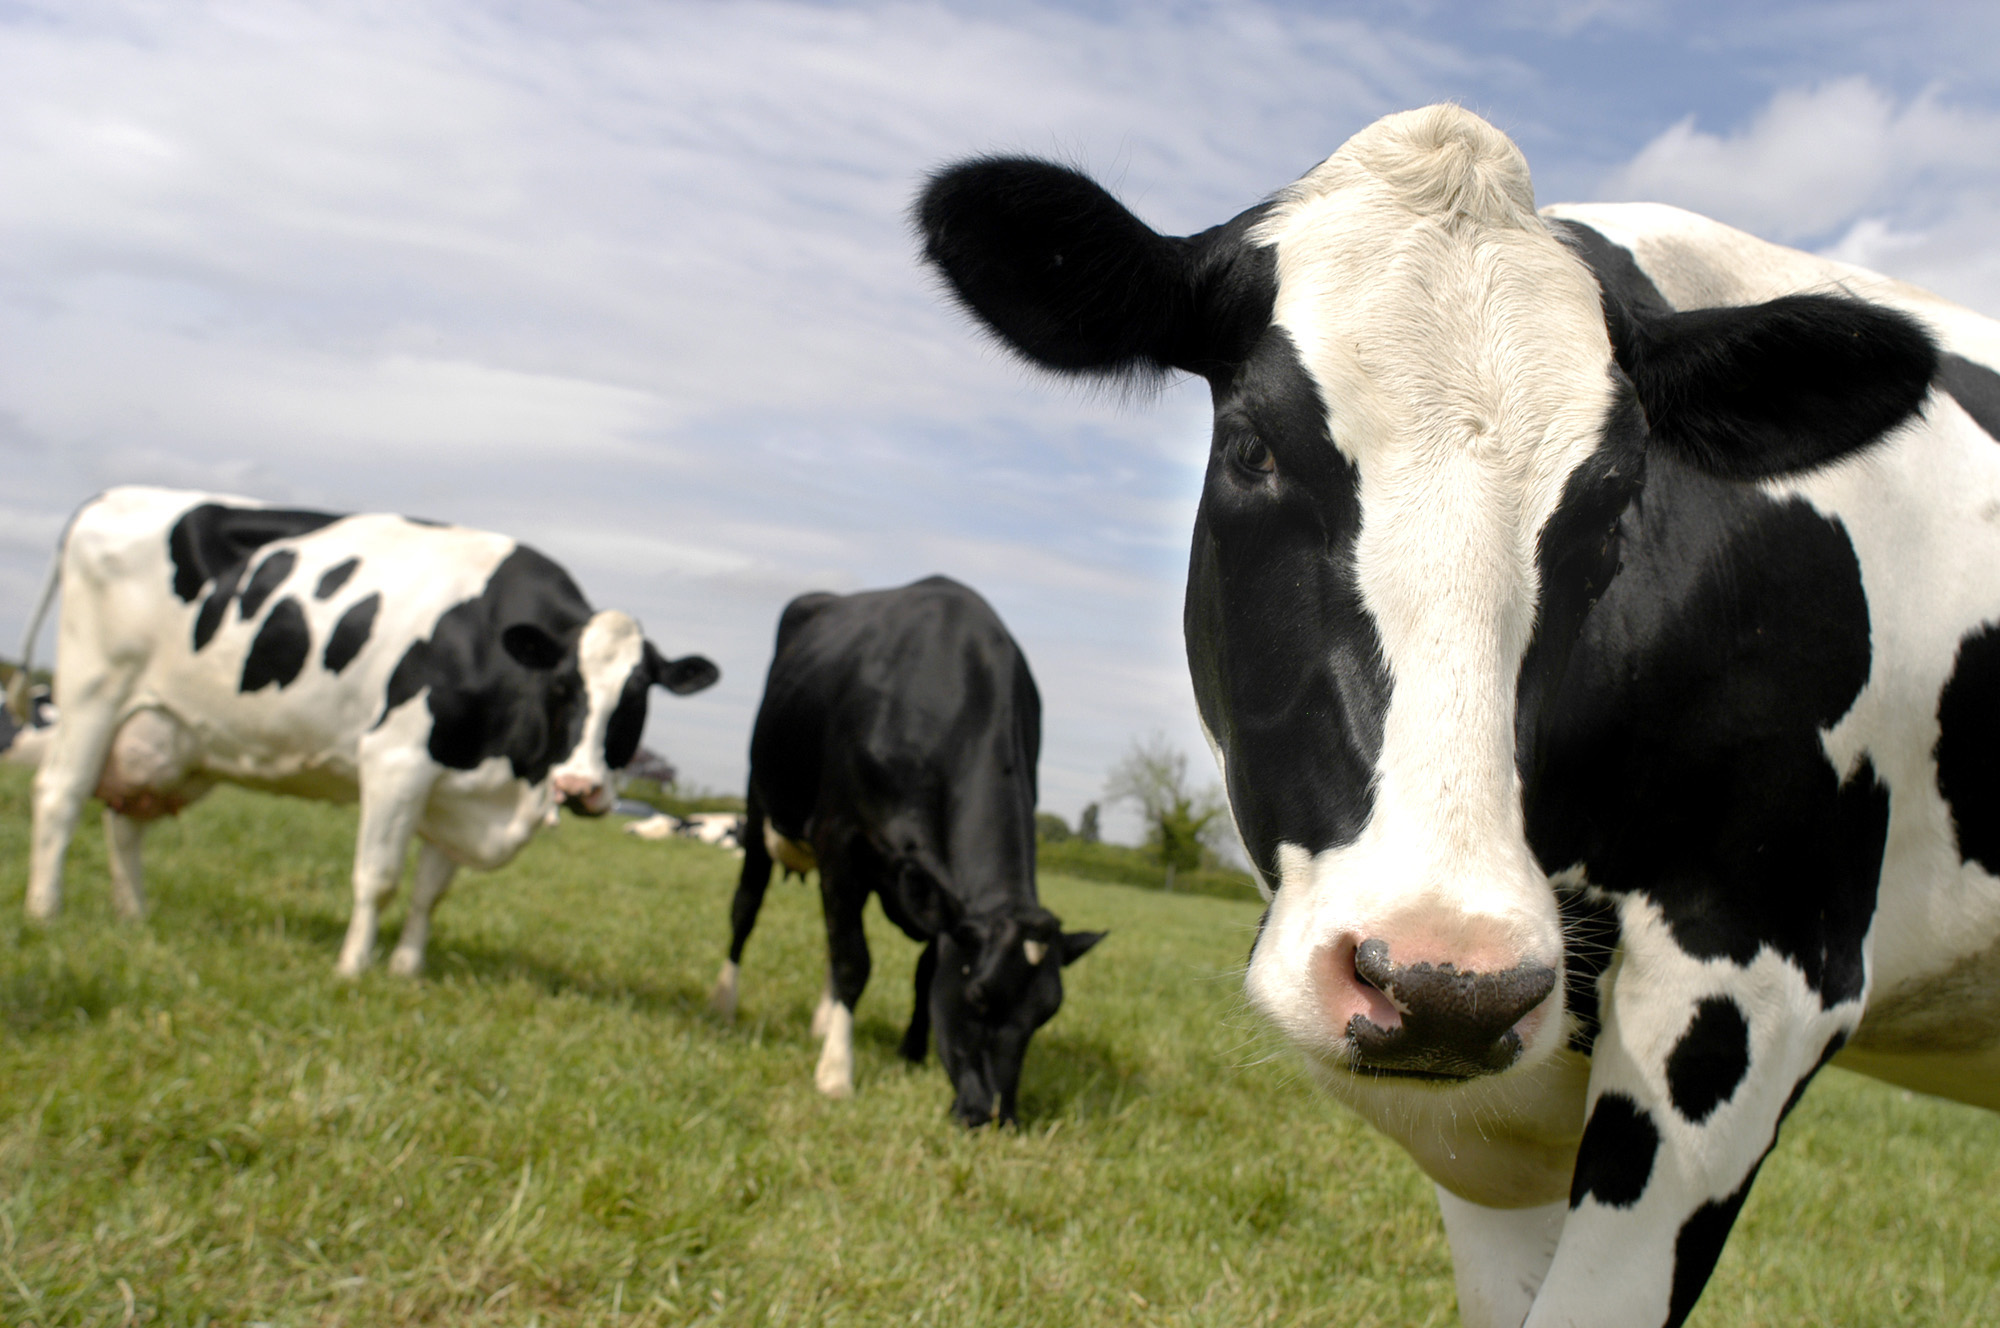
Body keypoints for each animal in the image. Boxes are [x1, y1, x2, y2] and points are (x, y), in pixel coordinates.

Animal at [15, 482, 720, 972]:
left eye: (638, 696)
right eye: (563, 686)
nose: (580, 787)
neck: (511, 780)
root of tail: (113, 495)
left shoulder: (459, 788)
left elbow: (431, 891)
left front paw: (407, 969)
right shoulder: (396, 760)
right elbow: (377, 878)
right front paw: (353, 968)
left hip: (168, 734)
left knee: (124, 820)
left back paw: (133, 916)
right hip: (95, 688)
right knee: (61, 794)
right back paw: (44, 911)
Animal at [708, 576, 1112, 1128]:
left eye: (1046, 1012)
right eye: (978, 996)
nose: (995, 1117)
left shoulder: (939, 898)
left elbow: (920, 970)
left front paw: (912, 1052)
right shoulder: (840, 841)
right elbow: (855, 961)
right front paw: (836, 1072)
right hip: (758, 805)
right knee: (746, 909)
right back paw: (726, 1003)